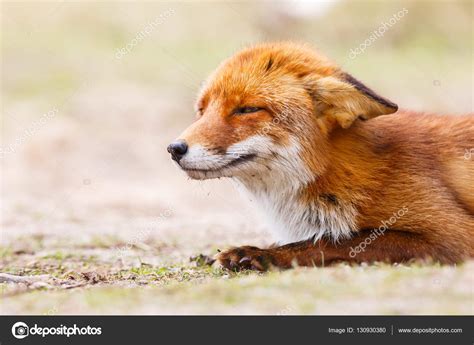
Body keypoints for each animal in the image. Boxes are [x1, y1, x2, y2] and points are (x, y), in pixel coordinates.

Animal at [168, 41, 474, 270]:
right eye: (201, 110)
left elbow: (334, 241)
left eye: (247, 109)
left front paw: (262, 254)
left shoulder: (451, 236)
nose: (174, 148)